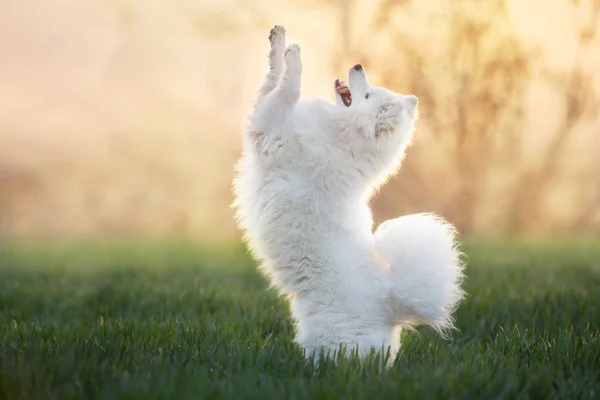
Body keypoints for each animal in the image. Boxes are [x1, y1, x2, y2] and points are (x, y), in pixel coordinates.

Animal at [232, 25, 466, 366]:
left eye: (367, 95)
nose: (357, 65)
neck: (344, 136)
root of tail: (390, 305)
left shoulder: (271, 126)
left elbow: (289, 87)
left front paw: (296, 55)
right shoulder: (267, 115)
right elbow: (273, 76)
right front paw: (279, 41)